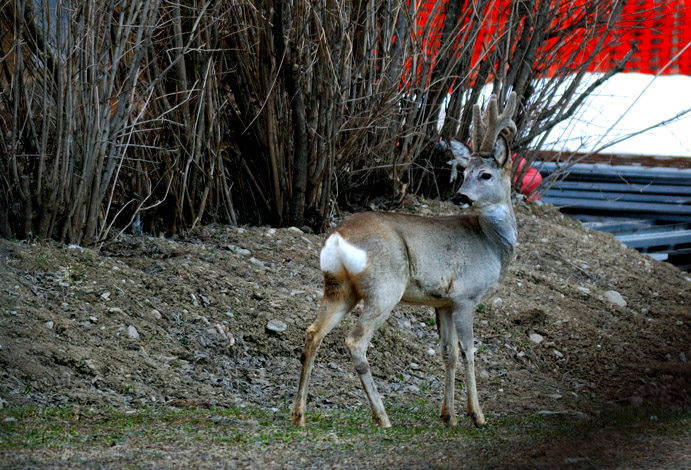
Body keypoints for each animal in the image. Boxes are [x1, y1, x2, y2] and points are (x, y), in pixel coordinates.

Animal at [292, 92, 520, 430]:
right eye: (465, 172)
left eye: (485, 174)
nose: (460, 197)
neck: (490, 242)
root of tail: (337, 237)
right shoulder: (466, 296)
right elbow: (468, 351)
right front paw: (476, 415)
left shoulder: (443, 302)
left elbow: (448, 353)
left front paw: (448, 416)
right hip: (385, 288)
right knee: (355, 341)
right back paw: (382, 416)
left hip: (338, 289)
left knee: (313, 333)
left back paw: (299, 415)